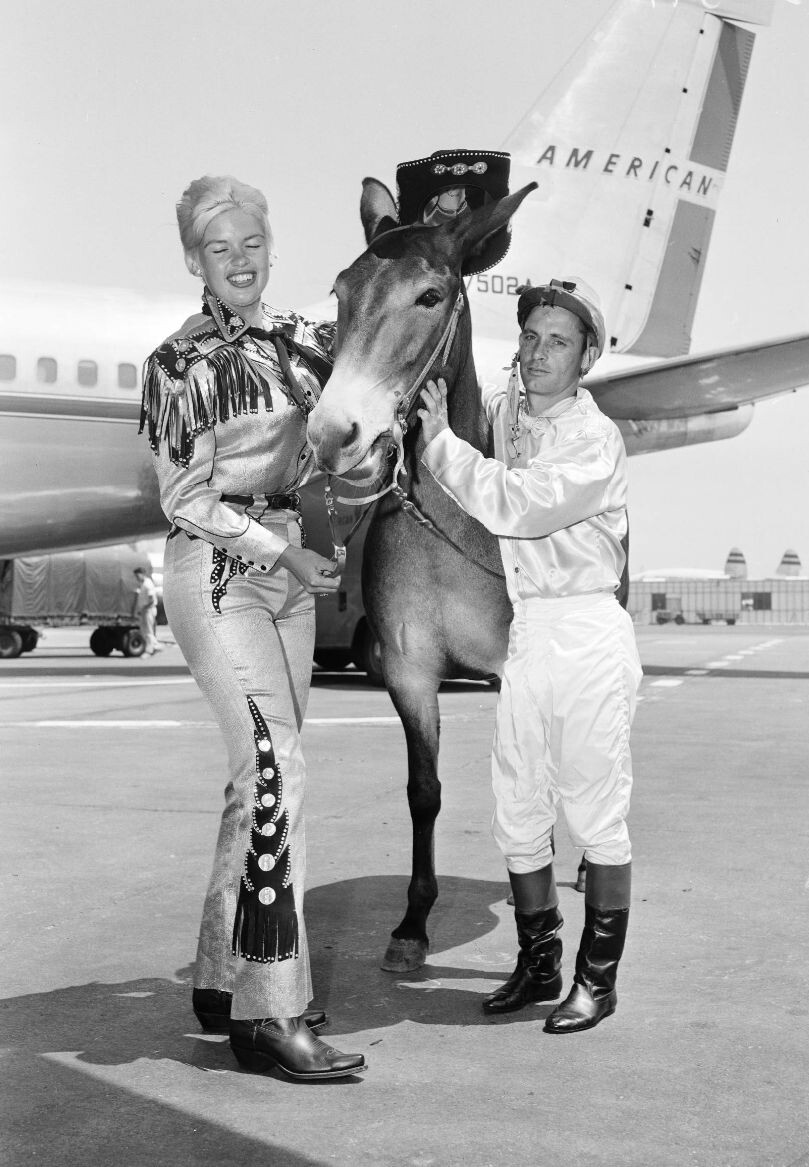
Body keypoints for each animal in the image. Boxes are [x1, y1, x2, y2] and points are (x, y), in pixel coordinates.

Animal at [307, 178, 578, 972]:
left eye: (429, 295)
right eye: (342, 291)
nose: (333, 433)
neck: (458, 523)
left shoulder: (519, 671)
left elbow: (531, 781)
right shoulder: (408, 670)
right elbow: (422, 791)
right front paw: (411, 923)